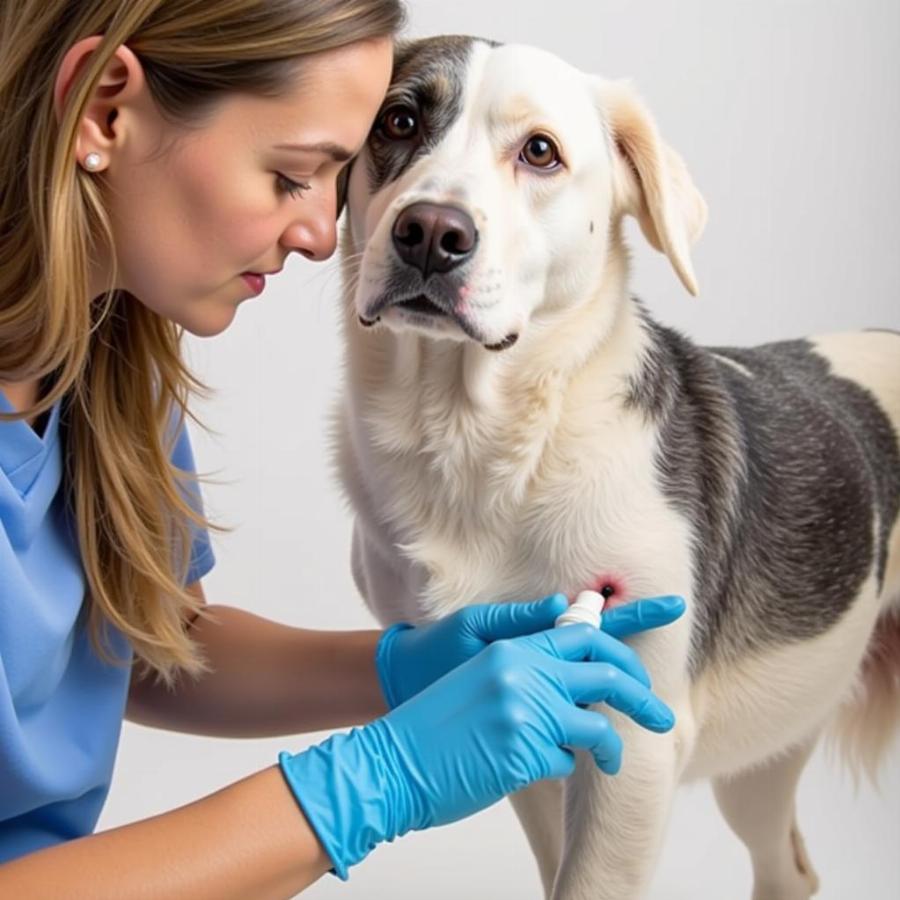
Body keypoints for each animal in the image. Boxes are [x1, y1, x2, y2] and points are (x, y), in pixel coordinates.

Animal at [332, 37, 900, 900]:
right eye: (398, 120)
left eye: (540, 151)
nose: (429, 232)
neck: (483, 443)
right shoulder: (522, 714)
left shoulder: (635, 744)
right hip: (772, 743)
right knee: (789, 869)